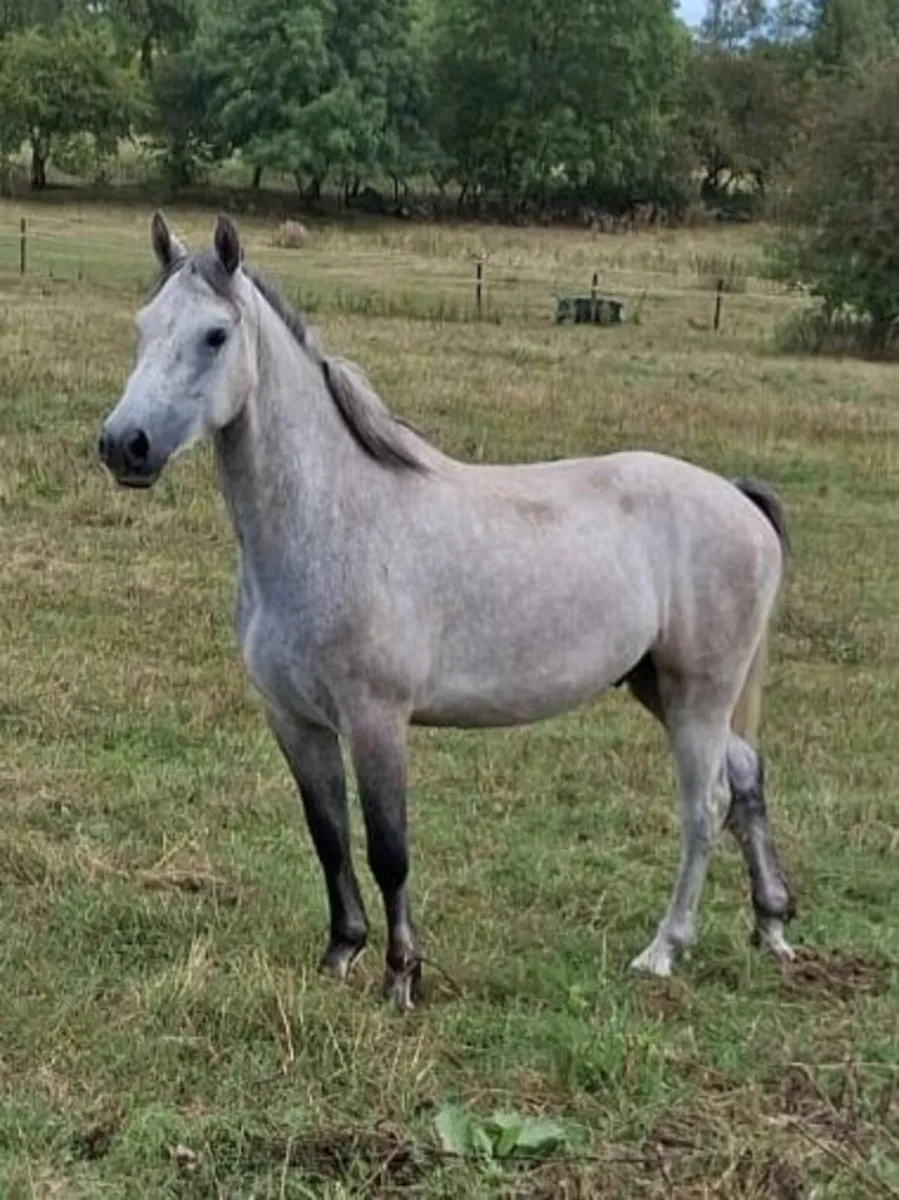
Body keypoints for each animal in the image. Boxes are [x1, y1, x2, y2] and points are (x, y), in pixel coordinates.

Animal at [98, 213, 796, 1010]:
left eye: (215, 335)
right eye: (143, 325)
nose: (124, 445)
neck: (332, 520)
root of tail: (735, 496)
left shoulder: (376, 719)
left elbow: (388, 847)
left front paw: (402, 977)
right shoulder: (295, 720)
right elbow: (328, 835)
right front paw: (339, 955)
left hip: (698, 695)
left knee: (704, 807)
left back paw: (663, 950)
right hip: (666, 689)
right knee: (746, 783)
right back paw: (773, 927)